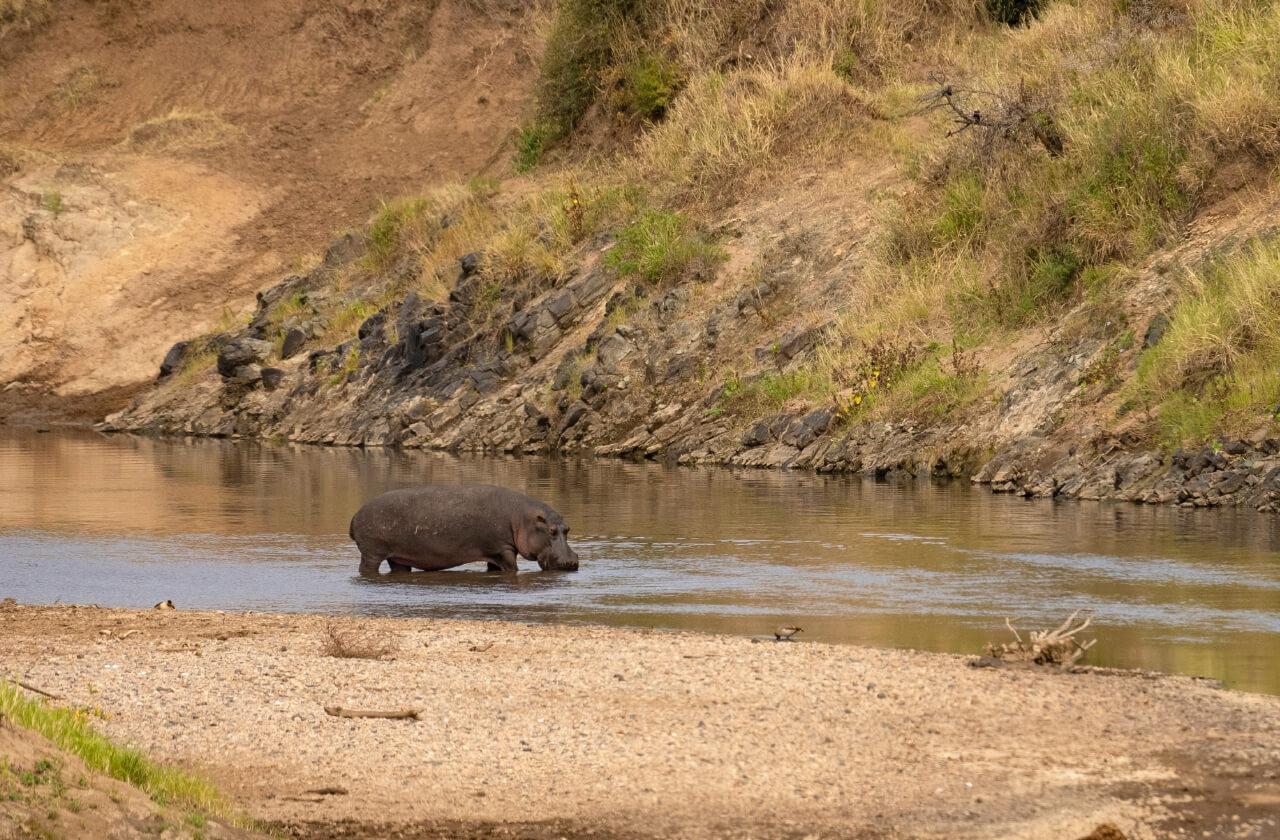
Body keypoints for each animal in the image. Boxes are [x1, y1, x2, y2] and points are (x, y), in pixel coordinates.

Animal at [345, 489, 576, 573]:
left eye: (567, 529)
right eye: (552, 530)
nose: (571, 562)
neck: (522, 518)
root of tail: (355, 515)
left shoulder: (495, 553)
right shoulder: (503, 549)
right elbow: (513, 568)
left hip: (398, 557)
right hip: (372, 553)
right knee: (366, 568)